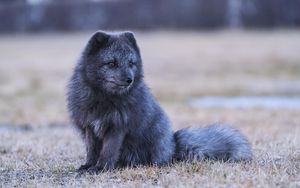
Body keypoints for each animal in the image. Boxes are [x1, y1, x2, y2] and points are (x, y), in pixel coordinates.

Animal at [67, 30, 252, 173]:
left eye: (131, 63)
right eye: (112, 63)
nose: (129, 79)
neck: (104, 98)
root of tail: (173, 146)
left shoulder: (117, 127)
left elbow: (108, 151)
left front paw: (101, 168)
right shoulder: (89, 125)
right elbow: (92, 151)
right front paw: (88, 166)